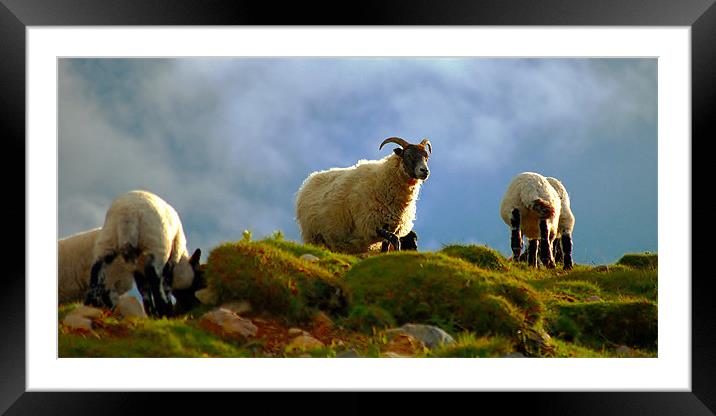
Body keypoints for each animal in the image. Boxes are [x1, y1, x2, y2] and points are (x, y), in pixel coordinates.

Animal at [296, 136, 430, 254]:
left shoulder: (391, 226)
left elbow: (386, 246)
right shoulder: (372, 224)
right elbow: (395, 240)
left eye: (426, 157)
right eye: (409, 155)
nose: (425, 171)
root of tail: (309, 180)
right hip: (313, 235)